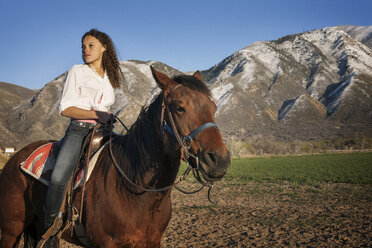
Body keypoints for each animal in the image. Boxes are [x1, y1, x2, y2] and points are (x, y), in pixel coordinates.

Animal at [0, 66, 230, 248]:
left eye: (213, 107)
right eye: (180, 108)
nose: (219, 160)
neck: (135, 191)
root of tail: (15, 159)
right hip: (11, 230)